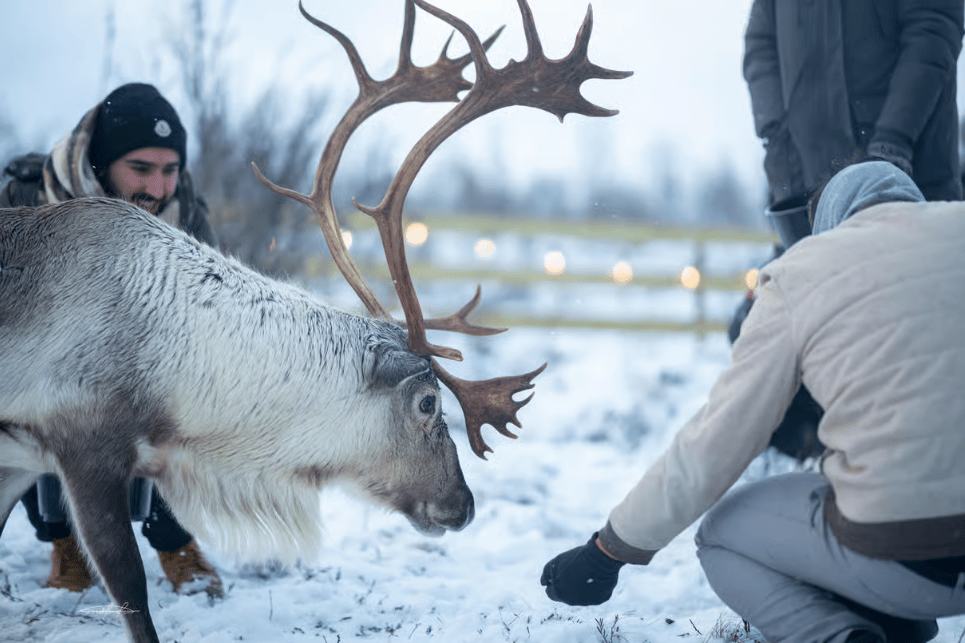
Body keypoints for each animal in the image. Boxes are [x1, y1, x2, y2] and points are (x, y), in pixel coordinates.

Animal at [0, 1, 630, 641]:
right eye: (428, 403)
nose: (465, 505)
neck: (180, 368)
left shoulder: (17, 458)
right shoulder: (85, 446)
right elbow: (130, 589)